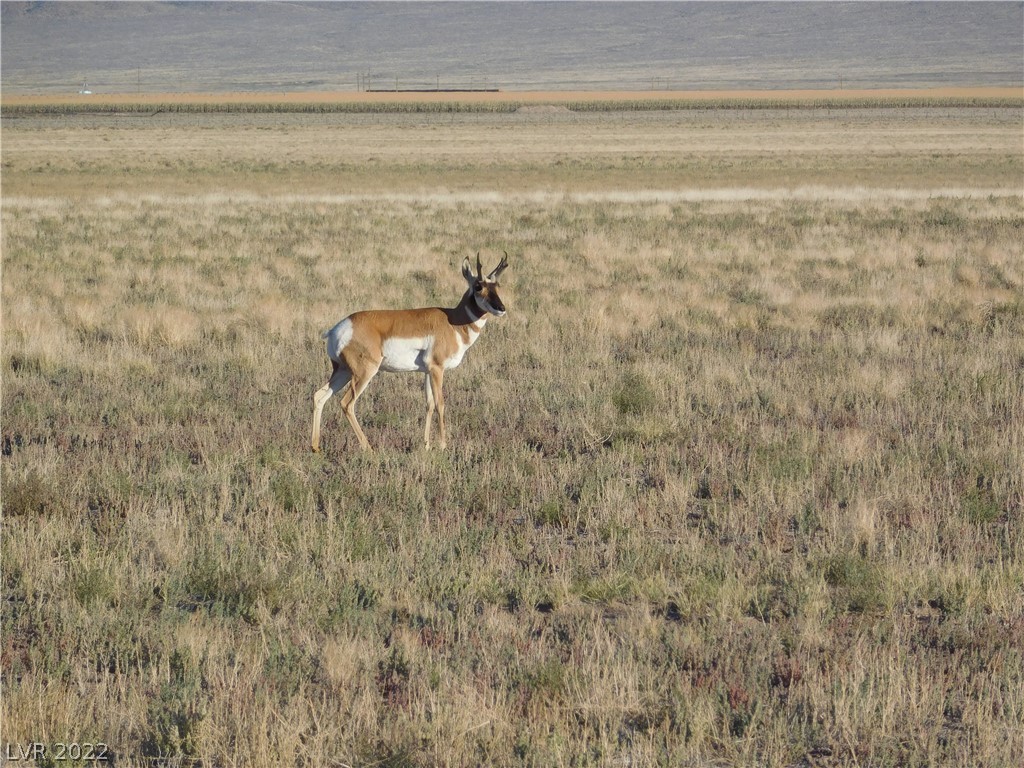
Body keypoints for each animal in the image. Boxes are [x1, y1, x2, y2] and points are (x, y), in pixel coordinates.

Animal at [307, 256, 507, 454]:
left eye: (497, 286)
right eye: (478, 286)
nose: (501, 308)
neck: (453, 321)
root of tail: (337, 329)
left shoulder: (427, 372)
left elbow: (429, 404)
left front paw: (426, 445)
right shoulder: (437, 369)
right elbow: (440, 403)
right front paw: (443, 445)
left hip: (343, 372)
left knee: (319, 396)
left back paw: (315, 447)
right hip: (364, 374)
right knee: (347, 403)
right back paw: (369, 448)